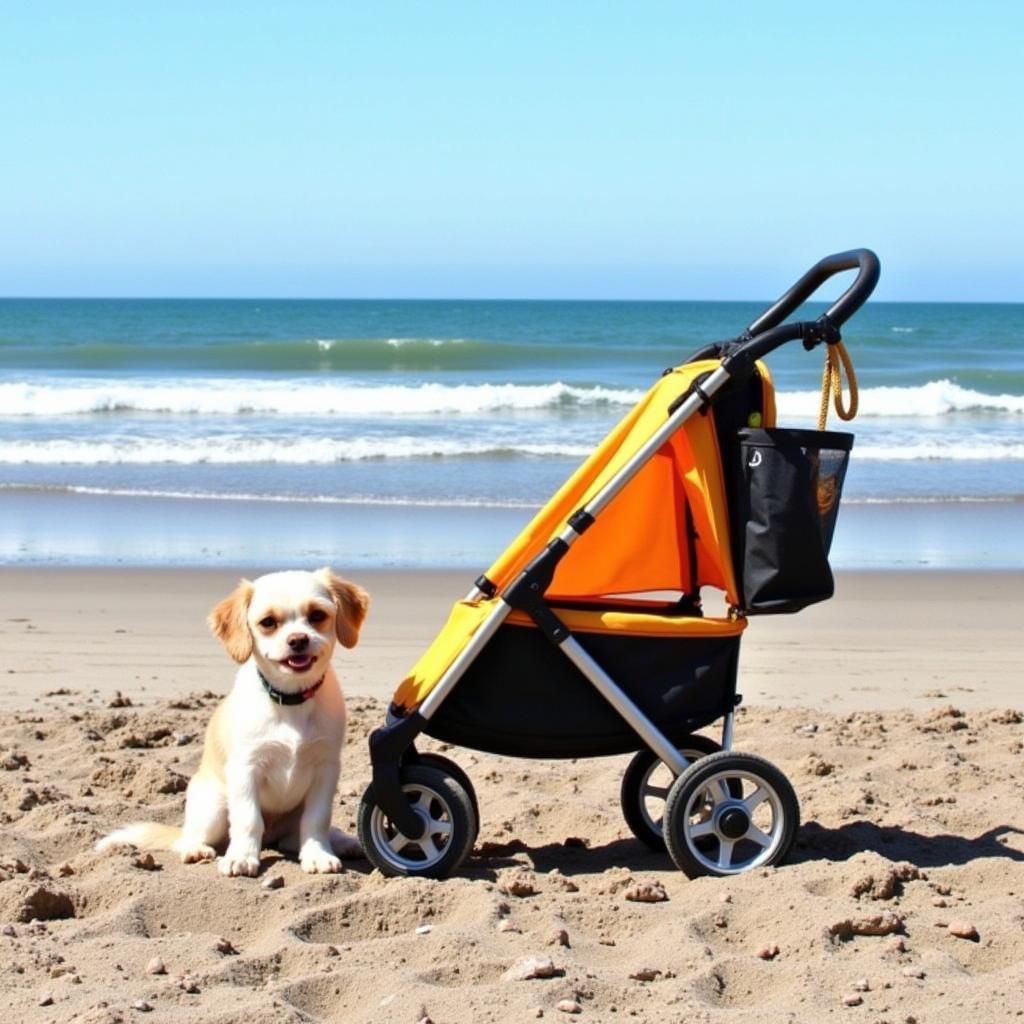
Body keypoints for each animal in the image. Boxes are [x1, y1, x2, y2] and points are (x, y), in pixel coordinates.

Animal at [96, 565, 372, 876]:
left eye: (317, 615)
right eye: (268, 622)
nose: (298, 640)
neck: (290, 700)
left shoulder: (325, 769)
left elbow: (317, 819)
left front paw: (318, 854)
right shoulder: (245, 768)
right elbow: (248, 818)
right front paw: (241, 856)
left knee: (295, 836)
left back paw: (343, 842)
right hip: (214, 807)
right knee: (192, 837)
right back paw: (196, 849)